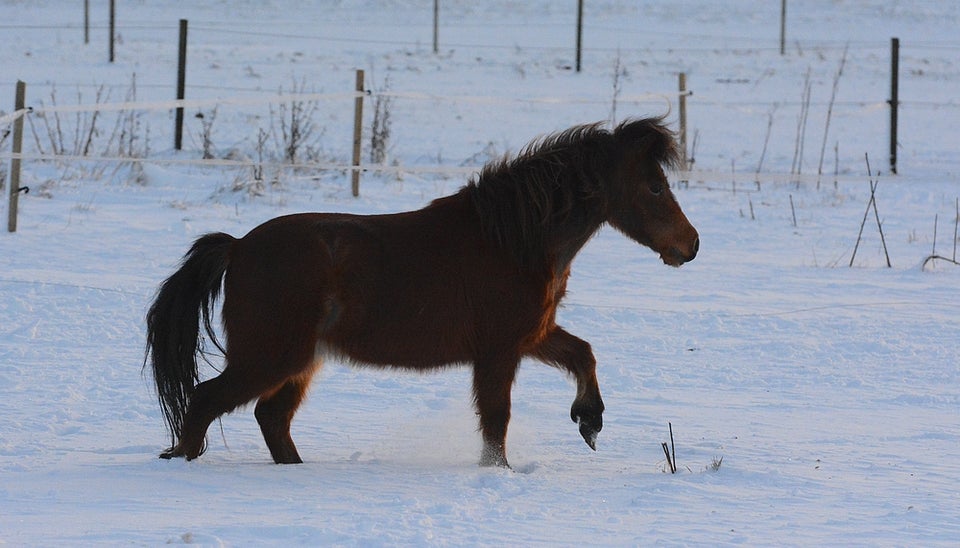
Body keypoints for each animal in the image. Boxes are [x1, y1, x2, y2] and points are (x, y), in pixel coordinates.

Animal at [144, 117, 696, 468]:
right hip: (269, 357)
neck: (510, 240)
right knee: (205, 400)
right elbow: (496, 420)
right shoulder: (499, 351)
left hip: (301, 360)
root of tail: (237, 247)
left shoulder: (531, 335)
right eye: (654, 187)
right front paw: (498, 473)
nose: (690, 245)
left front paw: (590, 421)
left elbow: (583, 353)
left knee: (271, 418)